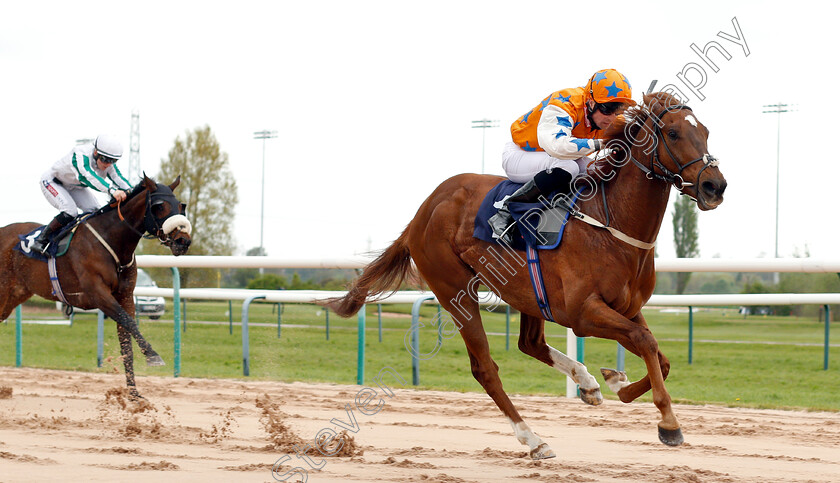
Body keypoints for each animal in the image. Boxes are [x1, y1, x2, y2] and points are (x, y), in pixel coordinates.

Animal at [0, 176, 192, 398]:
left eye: (181, 206)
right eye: (160, 206)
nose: (183, 241)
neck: (111, 241)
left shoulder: (125, 296)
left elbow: (126, 340)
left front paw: (134, 394)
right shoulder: (98, 294)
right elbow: (130, 323)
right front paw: (153, 356)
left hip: (14, 295)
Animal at [324, 92, 724, 460]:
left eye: (705, 131)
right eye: (673, 133)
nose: (715, 187)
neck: (610, 223)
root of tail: (423, 211)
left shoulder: (626, 308)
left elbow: (658, 354)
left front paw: (615, 383)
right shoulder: (582, 313)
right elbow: (645, 341)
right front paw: (668, 424)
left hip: (527, 294)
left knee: (529, 344)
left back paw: (587, 383)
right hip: (454, 291)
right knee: (485, 368)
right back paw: (534, 439)